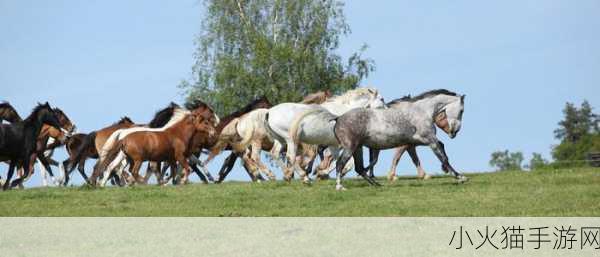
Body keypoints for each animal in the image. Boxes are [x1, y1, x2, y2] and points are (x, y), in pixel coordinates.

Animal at [330, 89, 466, 189]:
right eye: (461, 110)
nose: (455, 131)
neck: (422, 111)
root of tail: (338, 118)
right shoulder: (429, 139)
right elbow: (442, 156)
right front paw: (460, 177)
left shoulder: (418, 141)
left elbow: (441, 148)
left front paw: (446, 170)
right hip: (351, 147)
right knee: (340, 164)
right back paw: (340, 186)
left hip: (358, 148)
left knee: (359, 168)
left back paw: (377, 184)